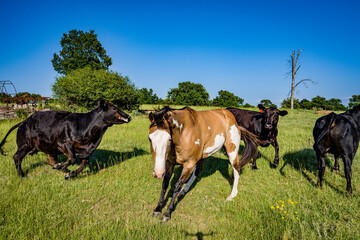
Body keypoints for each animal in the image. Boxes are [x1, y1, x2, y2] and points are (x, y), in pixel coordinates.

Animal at [0, 100, 131, 180]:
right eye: (114, 108)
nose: (128, 116)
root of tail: (24, 121)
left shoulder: (86, 152)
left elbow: (82, 165)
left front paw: (70, 174)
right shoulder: (63, 143)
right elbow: (72, 158)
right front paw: (65, 168)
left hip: (48, 149)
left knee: (50, 161)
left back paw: (62, 168)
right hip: (25, 145)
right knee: (17, 157)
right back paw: (21, 174)